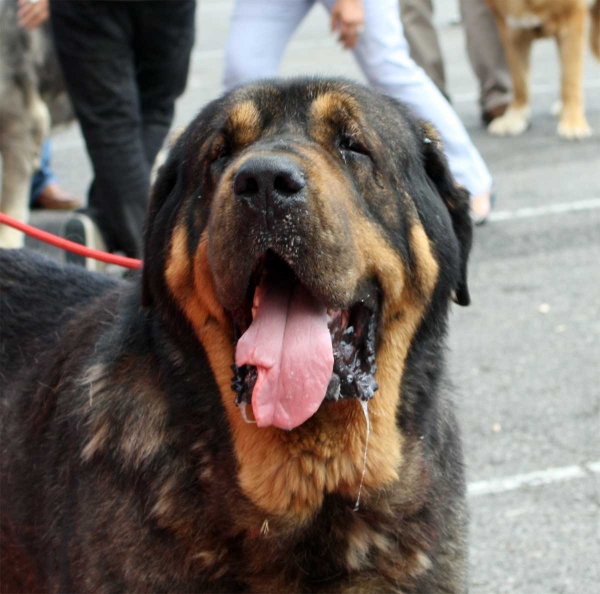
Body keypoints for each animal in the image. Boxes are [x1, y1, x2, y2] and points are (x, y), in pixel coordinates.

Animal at [488, 0, 600, 138]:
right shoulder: (511, 31)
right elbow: (519, 83)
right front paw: (514, 118)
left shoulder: (571, 21)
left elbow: (570, 80)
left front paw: (573, 123)